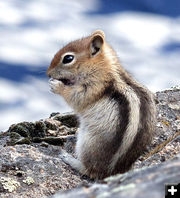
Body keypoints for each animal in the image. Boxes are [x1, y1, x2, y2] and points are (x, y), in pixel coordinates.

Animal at [46, 29, 156, 179]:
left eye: (68, 58)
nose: (47, 73)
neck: (103, 68)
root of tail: (111, 172)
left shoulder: (93, 87)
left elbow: (76, 97)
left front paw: (56, 86)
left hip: (86, 144)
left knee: (88, 170)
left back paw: (68, 158)